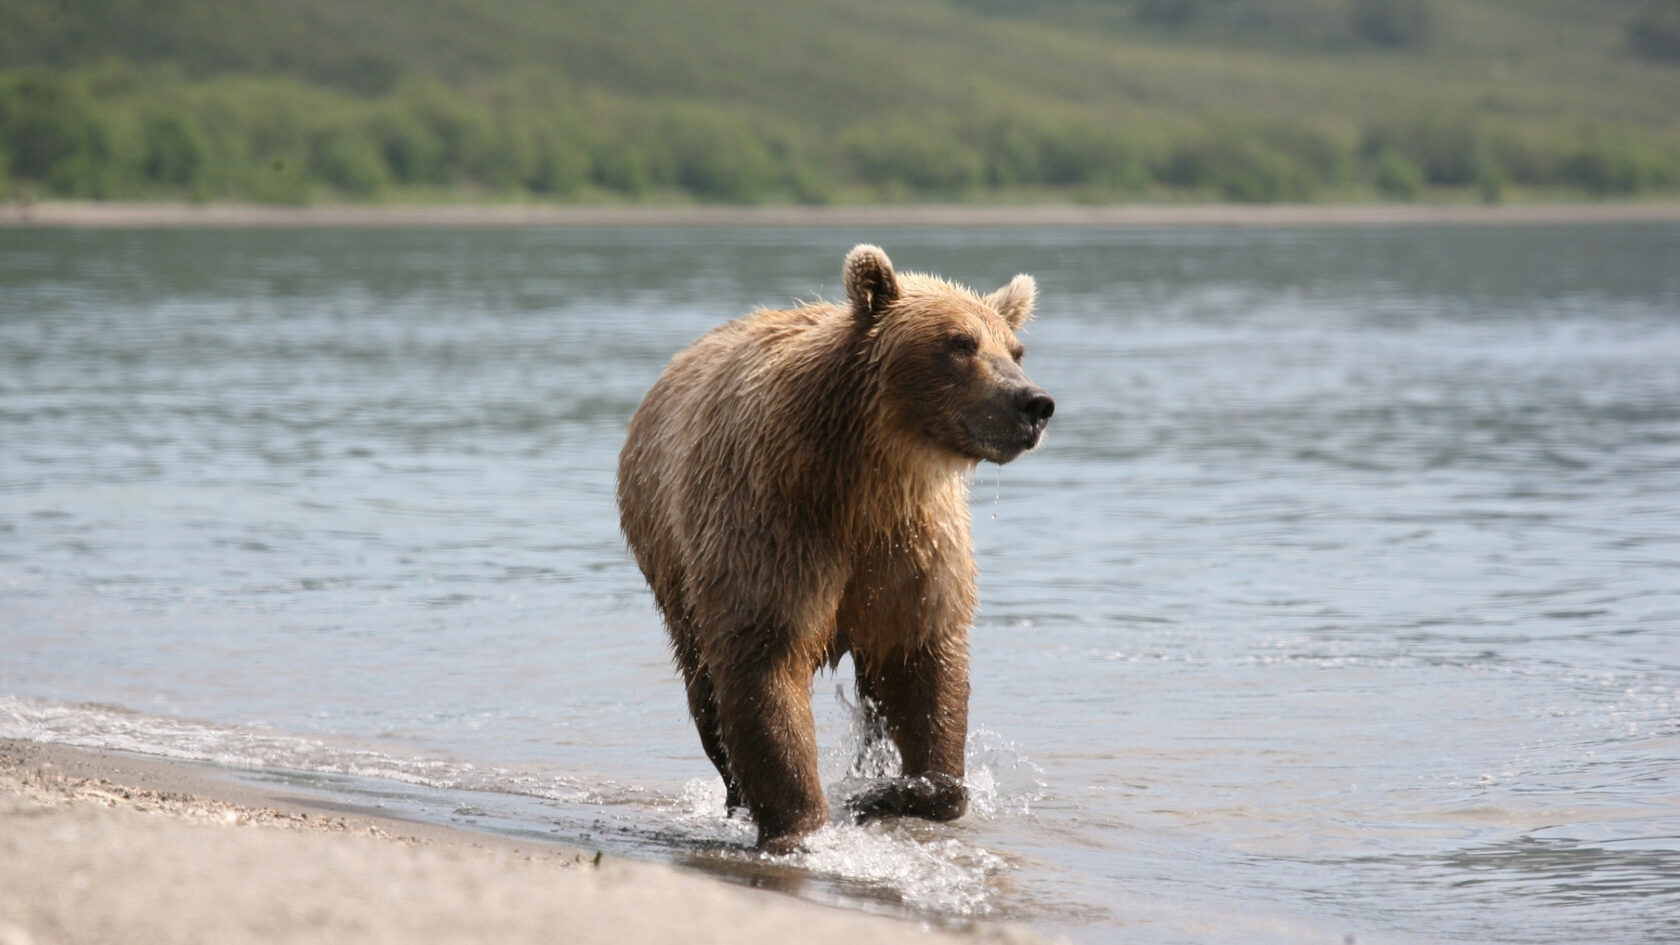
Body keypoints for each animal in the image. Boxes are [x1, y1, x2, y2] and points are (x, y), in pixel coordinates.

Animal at [621, 242, 1048, 854]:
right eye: (959, 343)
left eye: (1016, 349)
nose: (1033, 402)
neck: (866, 477)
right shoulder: (775, 525)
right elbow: (765, 667)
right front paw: (800, 823)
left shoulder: (912, 551)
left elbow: (929, 671)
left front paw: (888, 793)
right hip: (674, 568)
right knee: (704, 690)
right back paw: (735, 795)